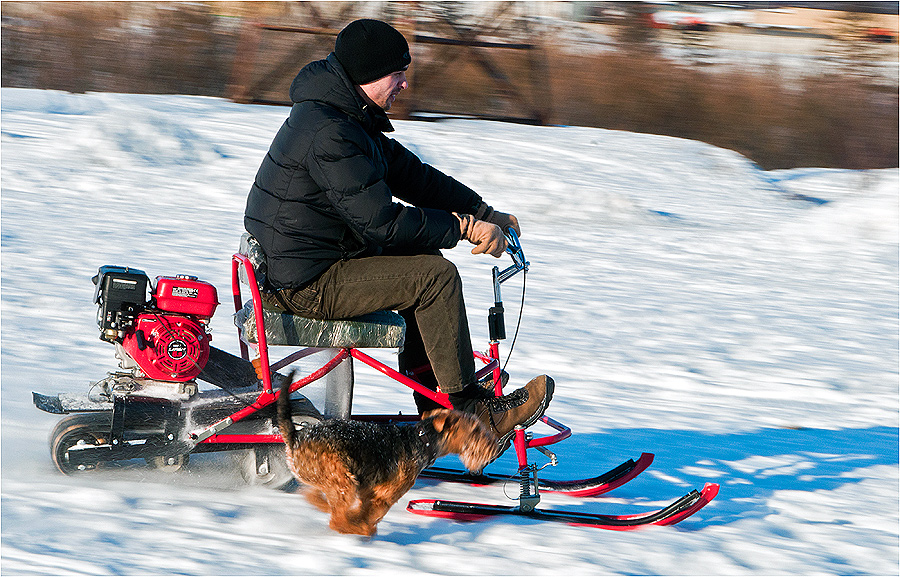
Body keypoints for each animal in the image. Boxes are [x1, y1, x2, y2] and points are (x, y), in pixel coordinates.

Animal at [276, 375, 499, 536]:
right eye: (475, 430)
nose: (495, 447)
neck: (423, 440)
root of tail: (296, 436)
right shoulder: (385, 495)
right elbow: (372, 514)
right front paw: (365, 526)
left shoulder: (368, 493)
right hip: (343, 481)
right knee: (336, 520)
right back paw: (359, 530)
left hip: (328, 480)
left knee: (314, 497)